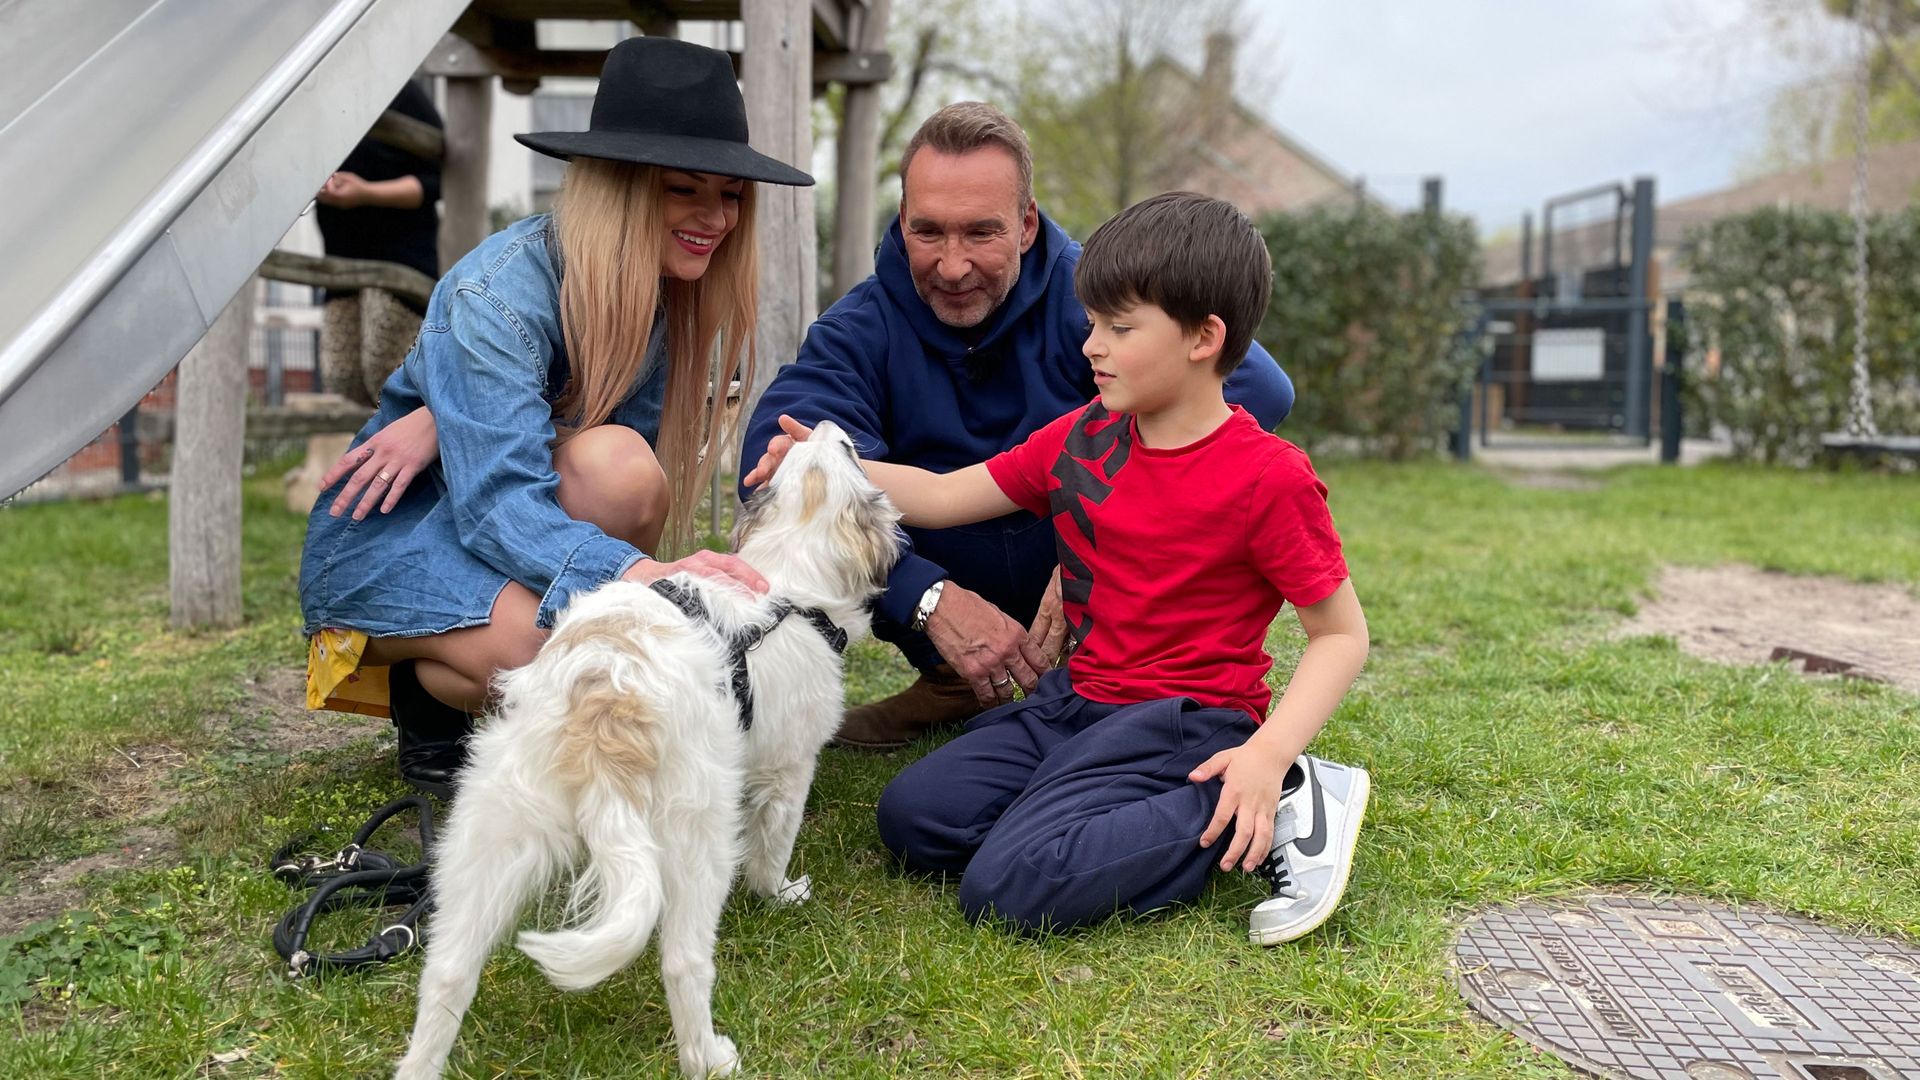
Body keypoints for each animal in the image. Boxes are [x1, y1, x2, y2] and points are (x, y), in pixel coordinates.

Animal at [395, 422, 898, 1076]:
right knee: (683, 963)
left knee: (448, 973)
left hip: (488, 834)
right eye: (848, 454)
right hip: (694, 838)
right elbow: (773, 848)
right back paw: (708, 1057)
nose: (829, 427)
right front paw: (782, 893)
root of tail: (605, 702)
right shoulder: (790, 769)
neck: (788, 570)